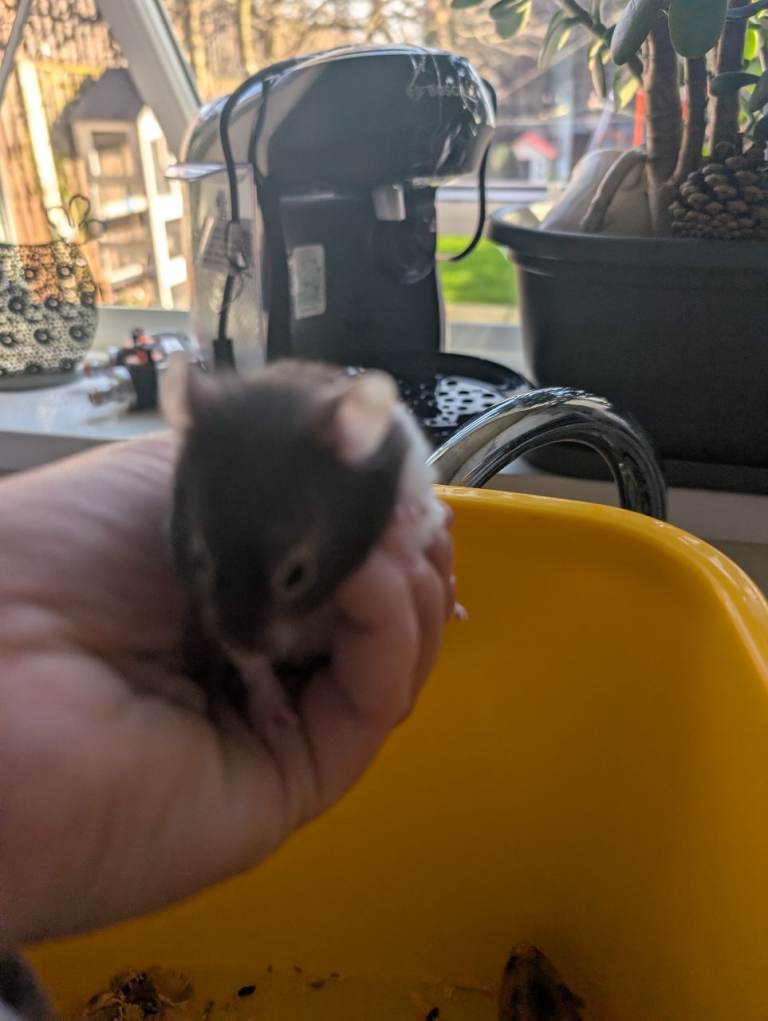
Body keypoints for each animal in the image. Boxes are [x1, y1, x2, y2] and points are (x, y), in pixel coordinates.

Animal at [161, 355, 448, 729]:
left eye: (295, 575)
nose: (240, 644)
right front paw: (274, 712)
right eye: (201, 559)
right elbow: (256, 669)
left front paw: (404, 517)